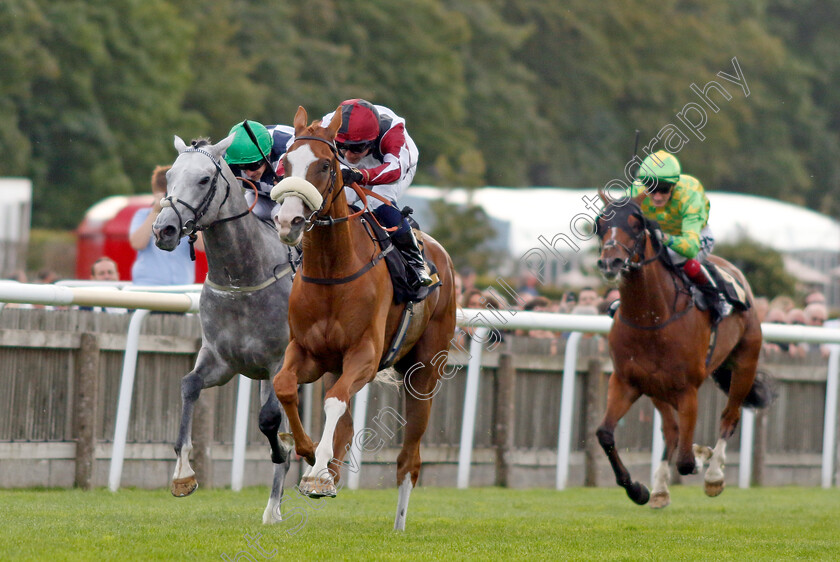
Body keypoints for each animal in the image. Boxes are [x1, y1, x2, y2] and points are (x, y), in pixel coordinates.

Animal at [154, 133, 296, 524]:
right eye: (169, 176)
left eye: (205, 179)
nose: (163, 229)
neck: (243, 277)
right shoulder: (222, 359)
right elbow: (188, 386)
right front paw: (183, 474)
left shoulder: (280, 360)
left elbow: (269, 421)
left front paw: (283, 450)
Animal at [270, 106, 456, 528]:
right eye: (285, 163)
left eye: (325, 165)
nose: (287, 222)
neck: (332, 270)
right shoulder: (308, 352)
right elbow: (285, 386)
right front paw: (310, 454)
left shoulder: (365, 356)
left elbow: (335, 403)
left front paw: (318, 473)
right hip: (338, 366)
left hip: (423, 374)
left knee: (409, 459)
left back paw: (399, 523)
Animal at [592, 190, 772, 506]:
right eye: (600, 224)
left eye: (636, 224)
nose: (610, 262)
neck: (651, 319)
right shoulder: (626, 381)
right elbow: (605, 434)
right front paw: (637, 489)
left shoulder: (687, 389)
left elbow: (687, 461)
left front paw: (703, 457)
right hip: (656, 388)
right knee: (671, 430)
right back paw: (660, 490)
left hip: (745, 363)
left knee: (729, 417)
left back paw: (714, 475)